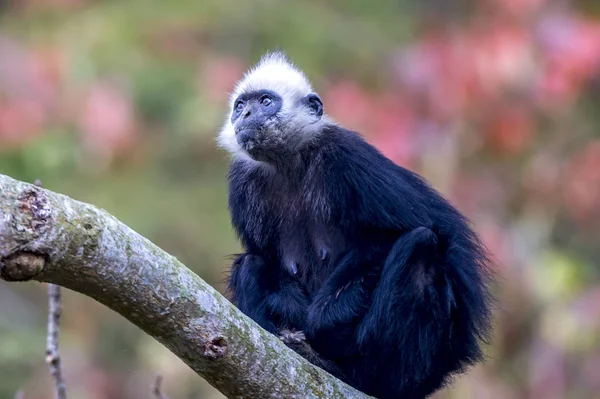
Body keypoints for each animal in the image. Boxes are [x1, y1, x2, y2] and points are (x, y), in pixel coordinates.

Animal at [218, 50, 490, 399]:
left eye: (266, 101)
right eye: (240, 105)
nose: (246, 114)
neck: (289, 165)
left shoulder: (345, 155)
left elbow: (425, 230)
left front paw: (321, 321)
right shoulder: (243, 183)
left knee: (422, 246)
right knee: (250, 264)